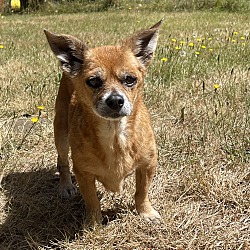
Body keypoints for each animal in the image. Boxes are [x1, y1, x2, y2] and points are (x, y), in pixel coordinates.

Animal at [44, 20, 162, 226]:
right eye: (93, 81)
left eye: (130, 79)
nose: (115, 100)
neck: (115, 135)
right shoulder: (83, 173)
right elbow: (92, 200)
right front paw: (94, 223)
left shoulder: (148, 165)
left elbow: (142, 192)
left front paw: (145, 212)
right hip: (61, 134)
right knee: (63, 161)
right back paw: (66, 185)